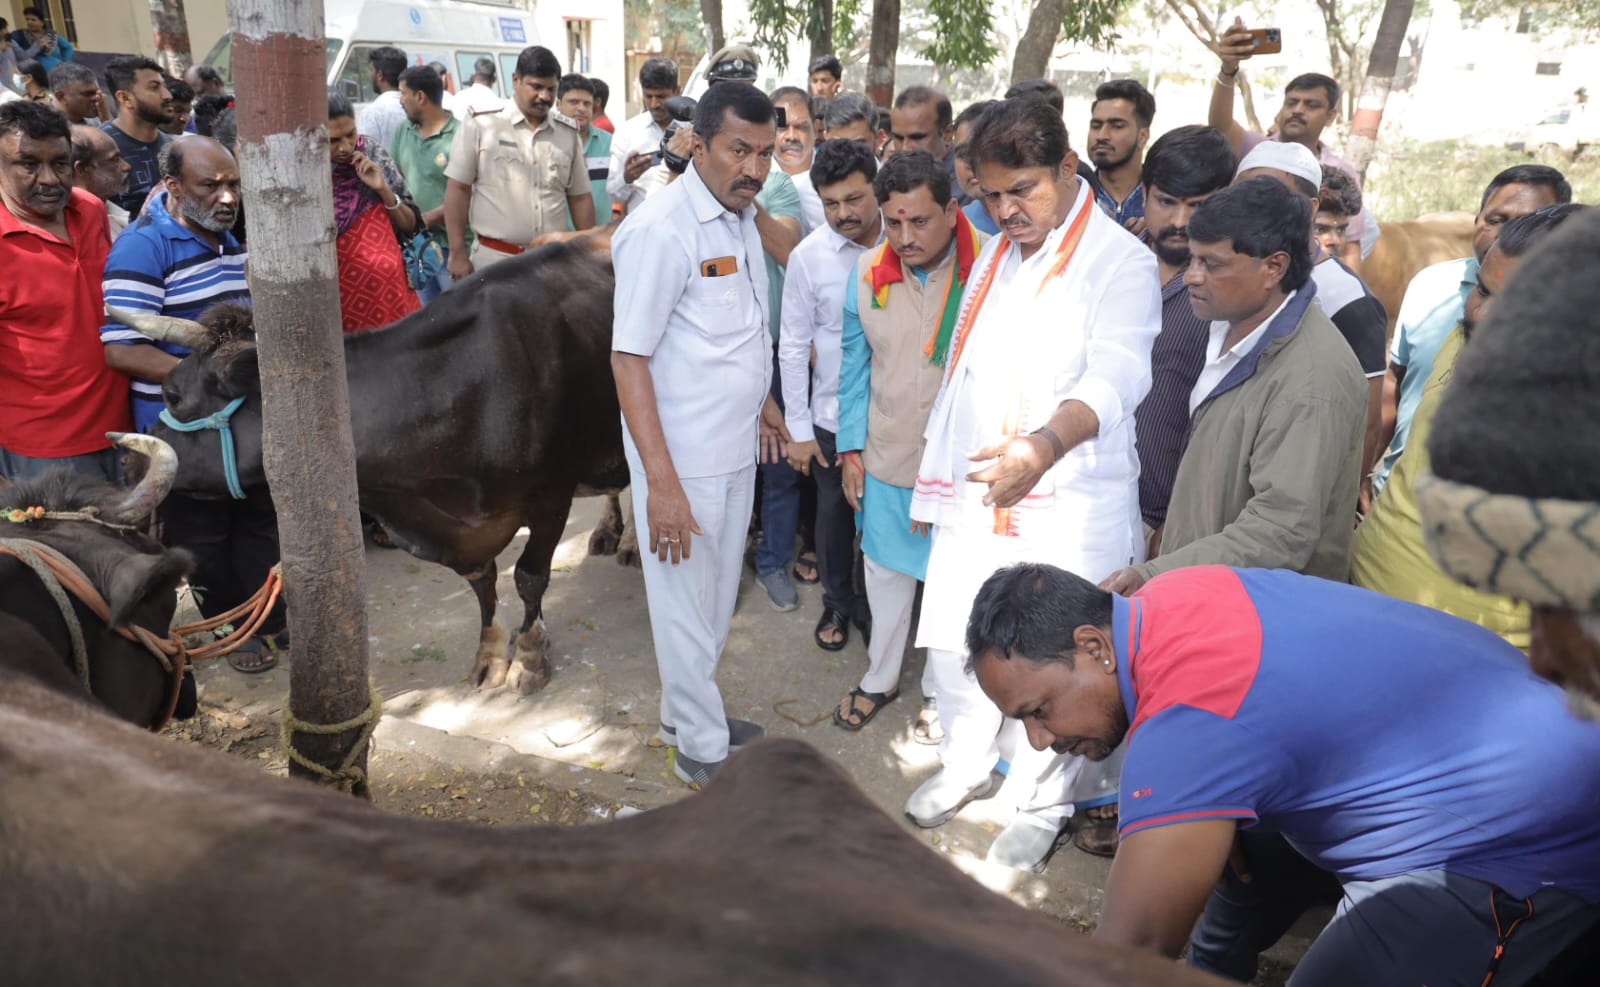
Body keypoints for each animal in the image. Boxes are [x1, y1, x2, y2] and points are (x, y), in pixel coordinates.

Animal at [129, 235, 624, 694]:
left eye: (172, 393)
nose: (129, 464)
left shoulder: (551, 496)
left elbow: (528, 577)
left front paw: (530, 657)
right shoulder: (458, 531)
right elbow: (482, 582)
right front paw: (489, 656)